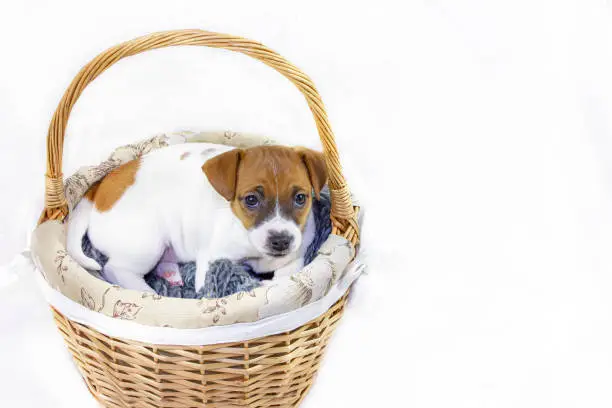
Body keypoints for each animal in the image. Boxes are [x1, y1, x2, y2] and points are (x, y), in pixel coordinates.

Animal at [65, 143, 328, 294]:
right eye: (251, 200)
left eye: (301, 198)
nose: (281, 241)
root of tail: (98, 189)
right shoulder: (211, 260)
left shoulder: (297, 255)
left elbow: (287, 275)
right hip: (147, 243)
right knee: (115, 269)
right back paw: (148, 291)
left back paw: (170, 273)